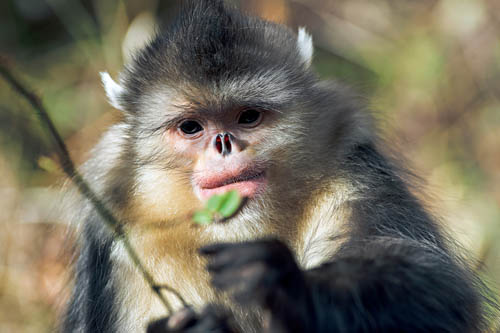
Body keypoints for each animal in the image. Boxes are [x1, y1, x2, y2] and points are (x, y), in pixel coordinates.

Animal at [59, 0, 492, 330]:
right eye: (191, 127)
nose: (224, 144)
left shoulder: (353, 179)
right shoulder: (122, 243)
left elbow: (438, 289)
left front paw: (286, 283)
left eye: (248, 117)